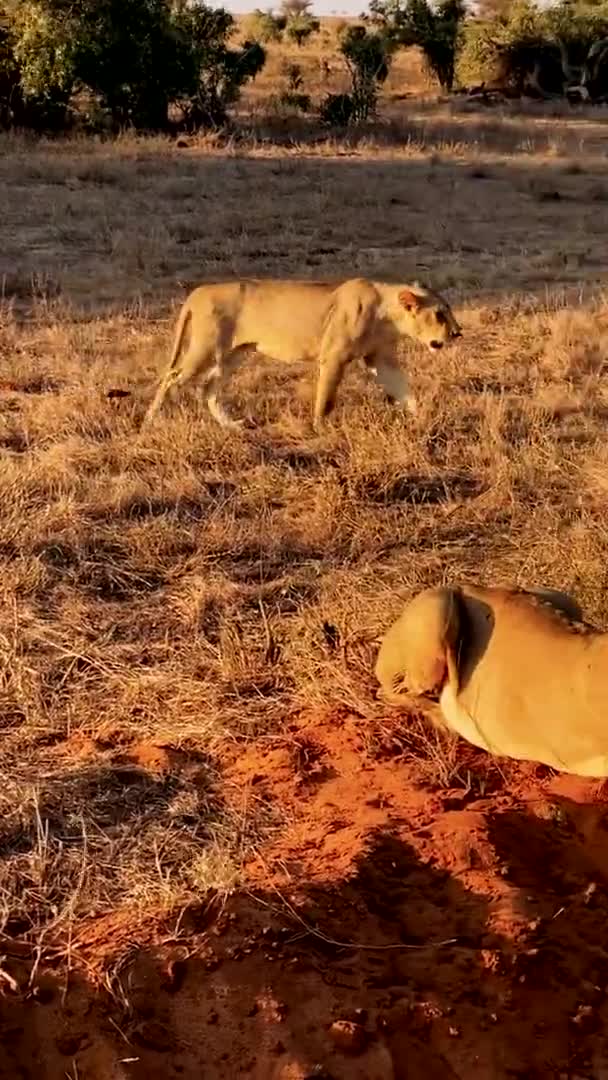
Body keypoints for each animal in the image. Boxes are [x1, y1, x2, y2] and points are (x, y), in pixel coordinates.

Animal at [141, 278, 462, 429]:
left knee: (208, 388)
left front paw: (424, 420)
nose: (458, 333)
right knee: (172, 377)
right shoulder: (334, 356)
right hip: (205, 348)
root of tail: (197, 293)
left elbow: (405, 391)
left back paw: (232, 426)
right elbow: (326, 399)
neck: (387, 313)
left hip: (234, 354)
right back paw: (150, 421)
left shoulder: (380, 359)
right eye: (439, 314)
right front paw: (320, 429)